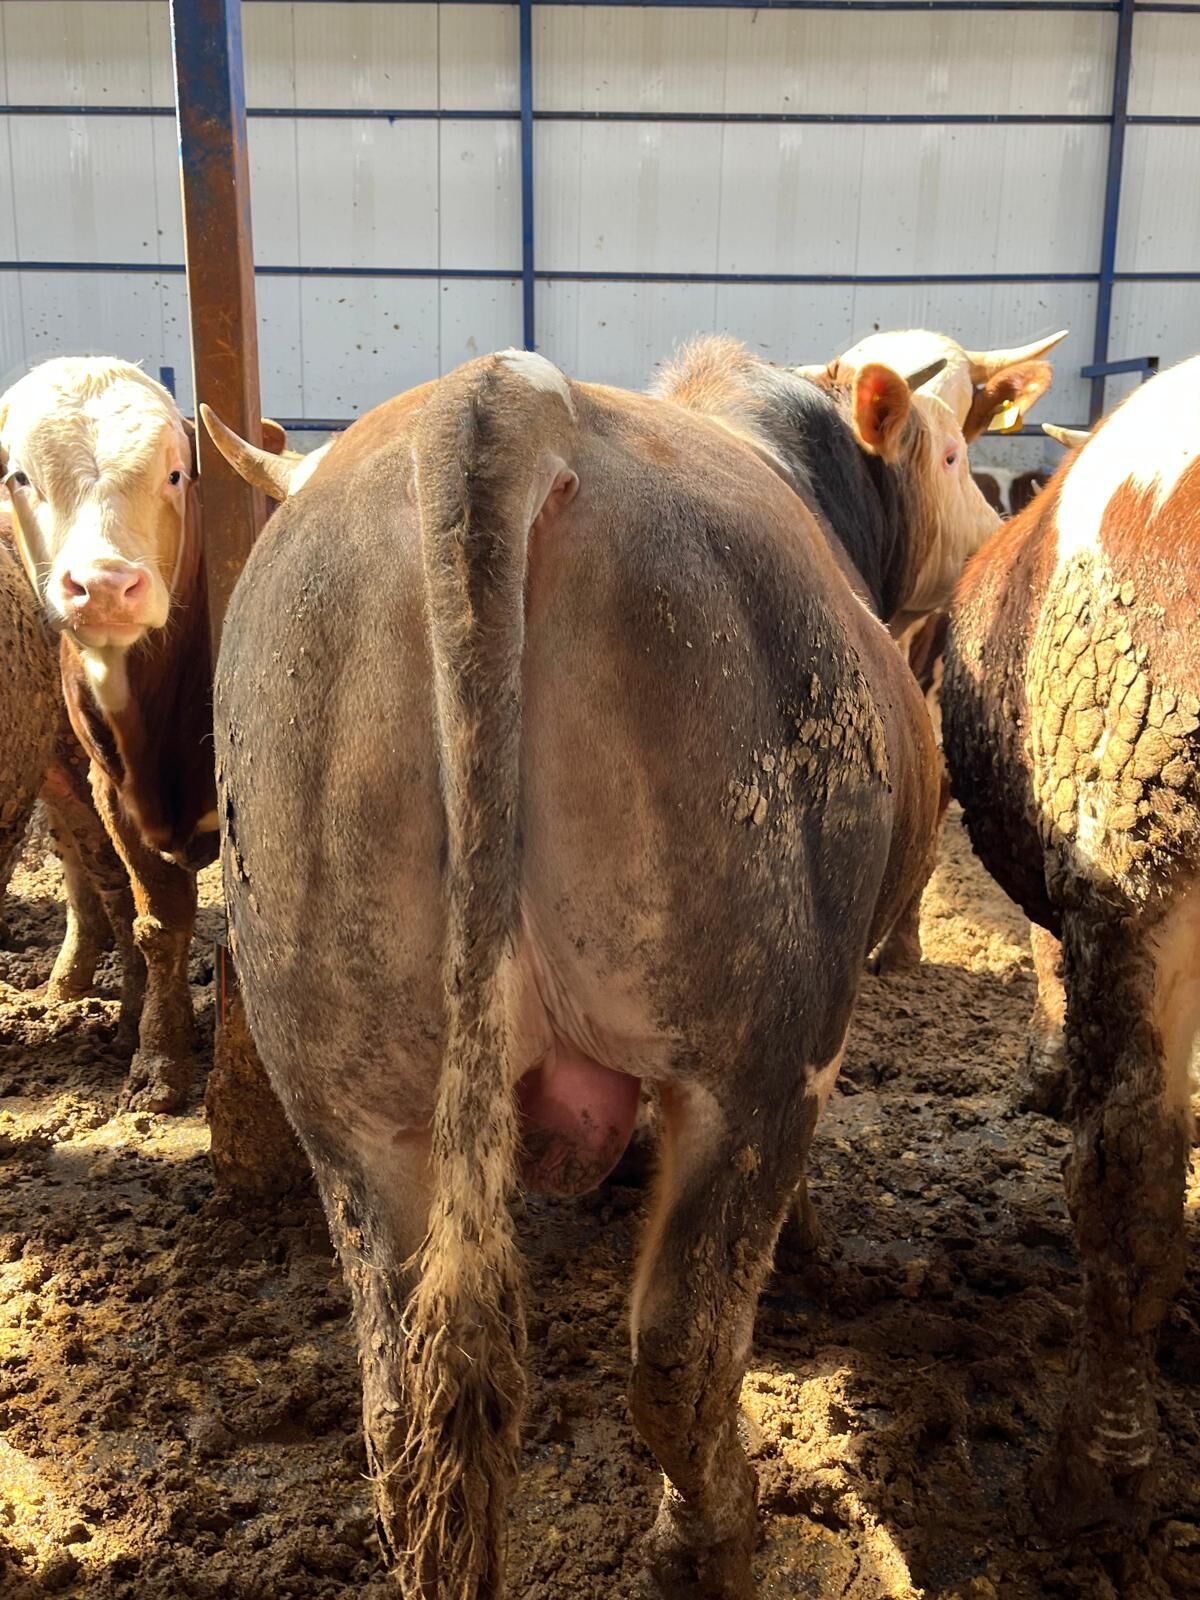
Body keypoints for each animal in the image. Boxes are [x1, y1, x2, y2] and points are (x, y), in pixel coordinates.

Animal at [0, 357, 287, 1112]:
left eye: (176, 474)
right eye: (20, 477)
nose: (103, 585)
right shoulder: (112, 791)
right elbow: (157, 921)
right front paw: (159, 1057)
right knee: (91, 873)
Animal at [206, 337, 998, 1598]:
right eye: (961, 452)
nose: (993, 519)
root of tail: (504, 396)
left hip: (350, 1095)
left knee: (406, 1418)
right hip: (759, 1050)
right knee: (680, 1353)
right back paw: (712, 1537)